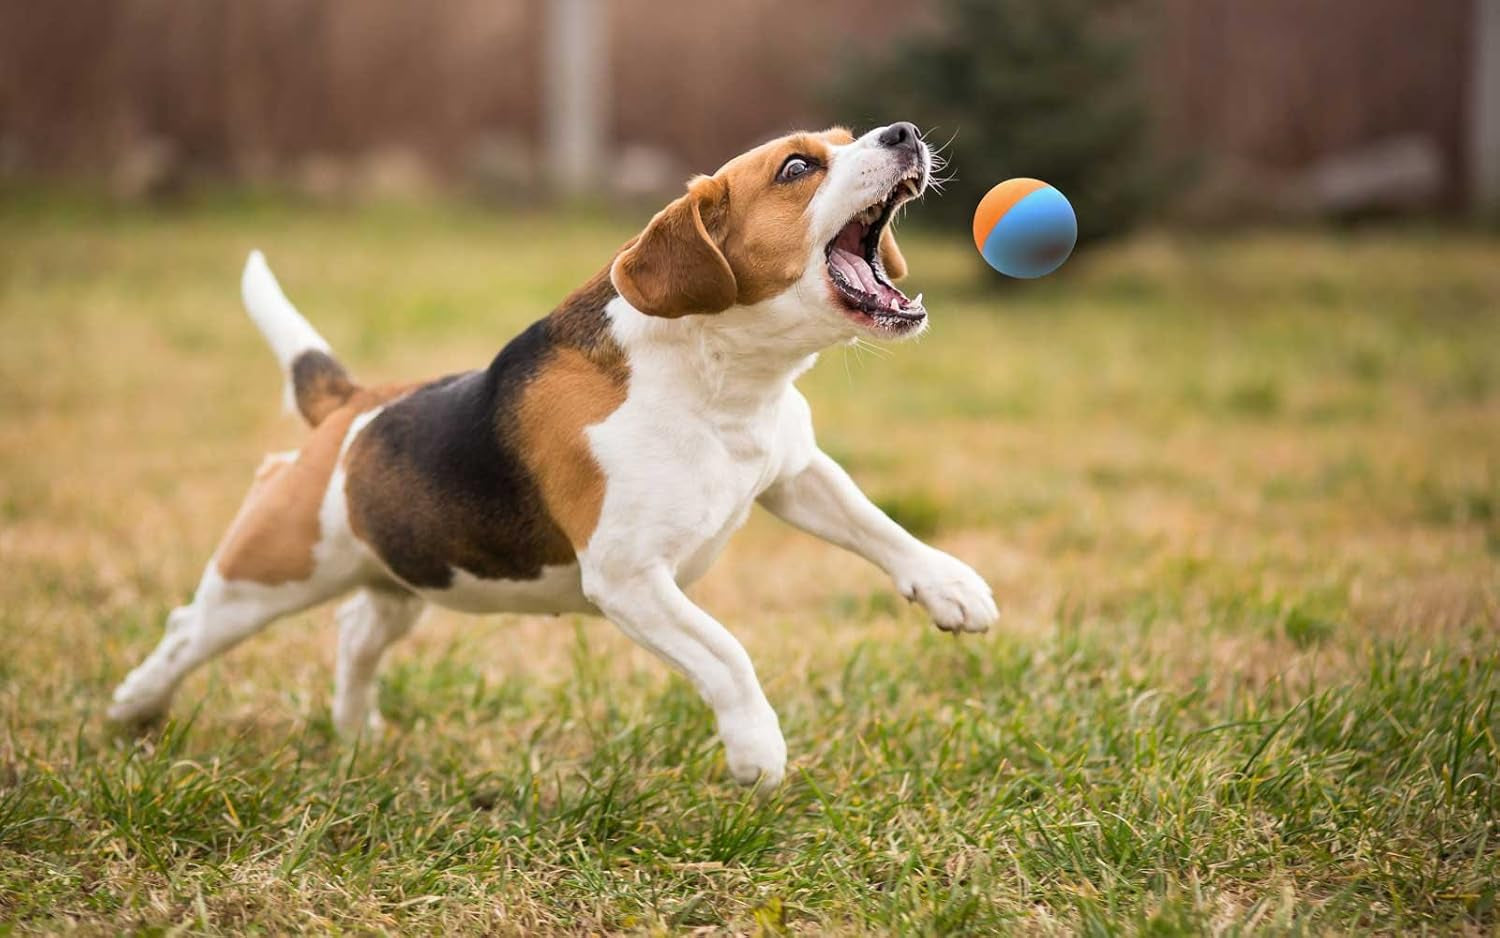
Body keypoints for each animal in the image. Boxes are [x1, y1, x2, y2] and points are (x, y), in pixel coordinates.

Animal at [111, 122, 1002, 780]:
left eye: (848, 139)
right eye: (796, 168)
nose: (904, 131)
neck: (722, 379)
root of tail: (353, 407)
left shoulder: (793, 473)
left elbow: (877, 525)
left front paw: (951, 587)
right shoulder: (631, 579)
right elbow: (727, 652)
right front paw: (758, 749)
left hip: (404, 575)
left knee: (357, 630)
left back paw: (357, 731)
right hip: (268, 572)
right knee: (189, 627)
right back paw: (134, 709)